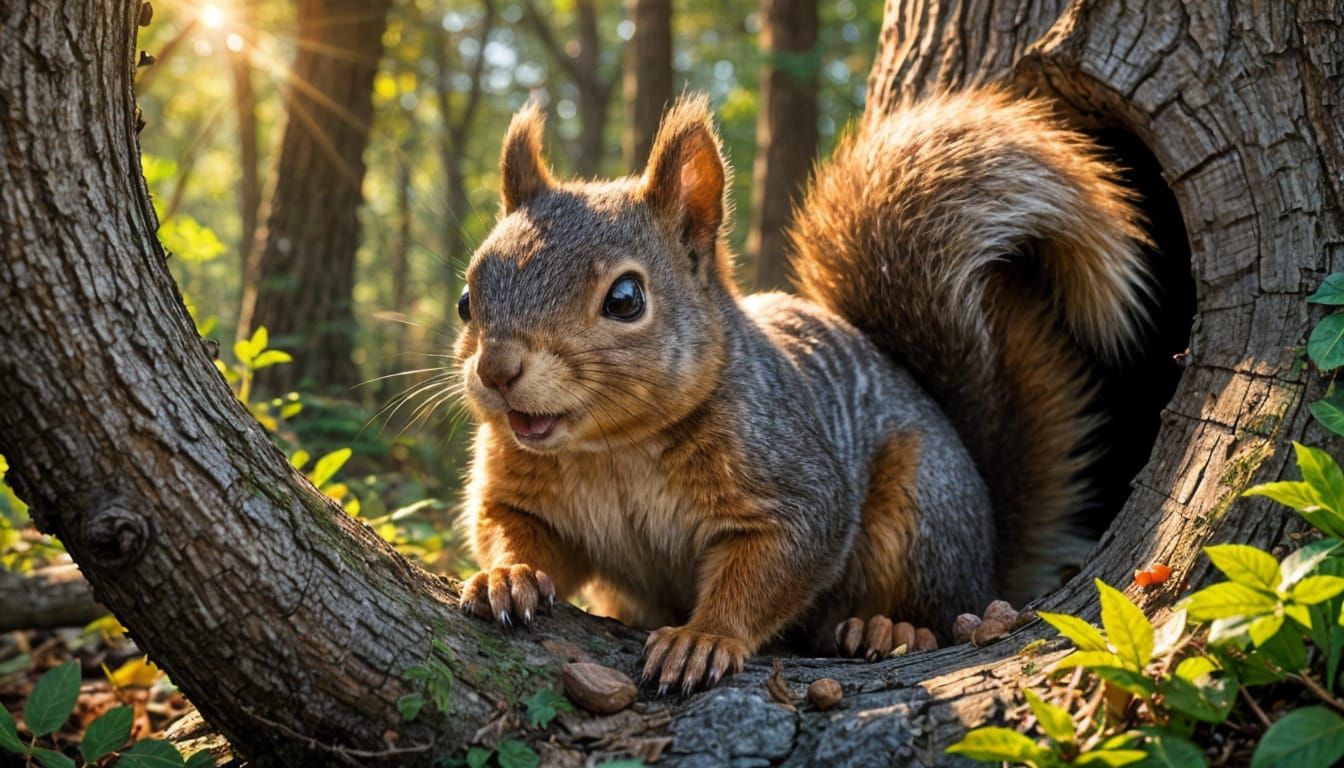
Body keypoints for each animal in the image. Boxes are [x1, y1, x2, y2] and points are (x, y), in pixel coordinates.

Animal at [454, 88, 1149, 692]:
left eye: (625, 299)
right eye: (467, 297)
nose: (497, 370)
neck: (612, 449)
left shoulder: (792, 482)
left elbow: (770, 567)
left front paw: (703, 638)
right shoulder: (523, 492)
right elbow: (514, 528)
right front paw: (508, 575)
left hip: (925, 511)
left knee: (946, 608)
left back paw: (891, 629)